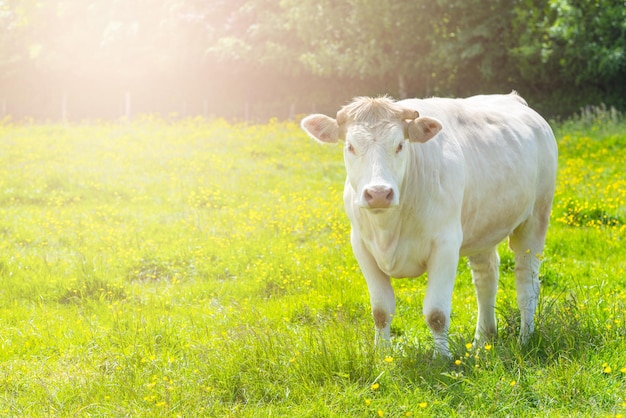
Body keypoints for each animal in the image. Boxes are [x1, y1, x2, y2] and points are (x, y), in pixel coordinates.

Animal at [302, 92, 556, 356]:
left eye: (400, 145)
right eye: (350, 146)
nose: (379, 193)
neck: (388, 229)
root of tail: (513, 98)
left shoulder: (446, 246)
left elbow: (436, 313)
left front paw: (442, 357)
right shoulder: (361, 246)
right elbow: (381, 311)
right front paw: (382, 355)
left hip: (536, 218)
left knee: (527, 282)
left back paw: (525, 339)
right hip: (483, 229)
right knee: (486, 279)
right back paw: (481, 341)